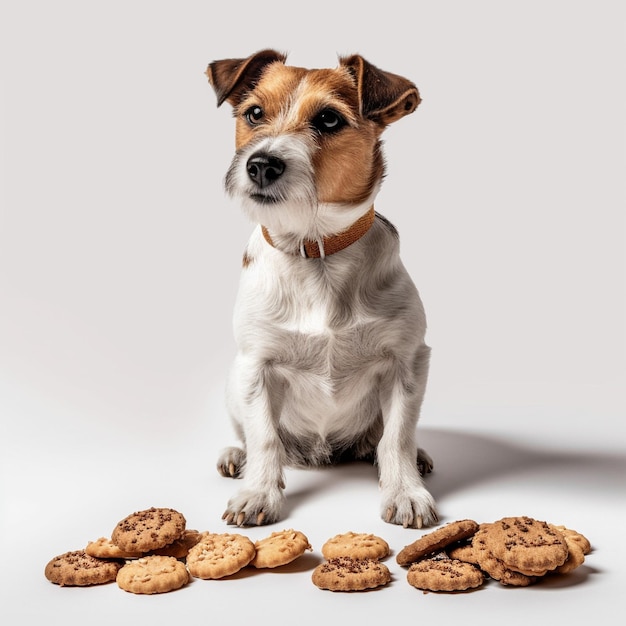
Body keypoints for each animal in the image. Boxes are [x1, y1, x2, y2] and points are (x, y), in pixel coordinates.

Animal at [207, 50, 436, 528]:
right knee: (251, 436)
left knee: (383, 438)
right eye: (254, 113)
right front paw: (258, 492)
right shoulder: (256, 366)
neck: (315, 252)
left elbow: (397, 436)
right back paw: (236, 456)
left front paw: (405, 491)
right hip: (234, 383)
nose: (261, 164)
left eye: (329, 119)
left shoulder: (407, 363)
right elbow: (264, 437)